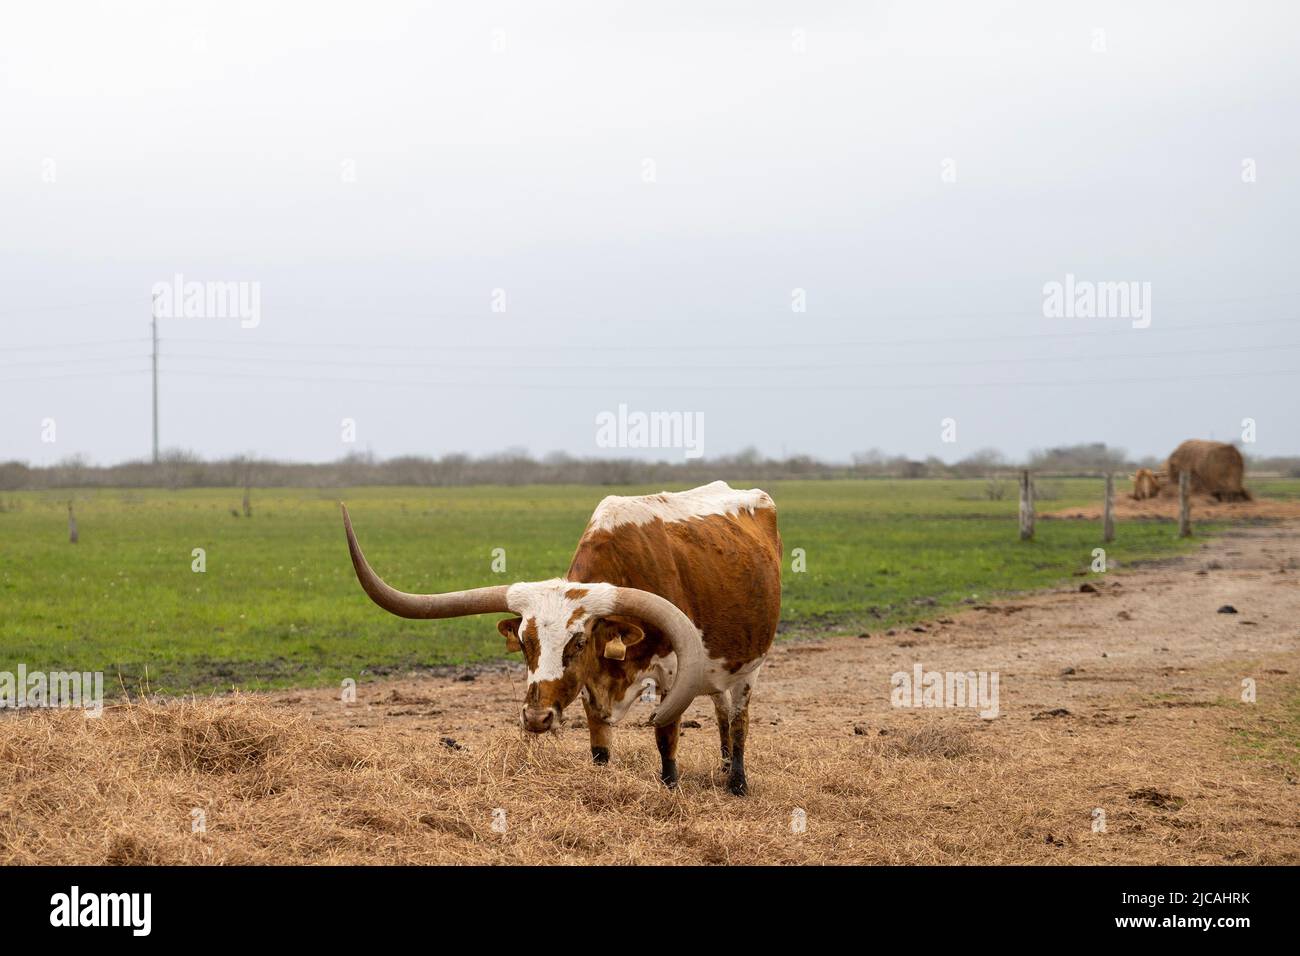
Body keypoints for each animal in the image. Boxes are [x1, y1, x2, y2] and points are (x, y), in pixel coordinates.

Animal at [340, 481, 774, 796]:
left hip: (749, 668)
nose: (536, 719)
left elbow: (665, 738)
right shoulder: (591, 689)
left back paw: (737, 782)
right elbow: (599, 747)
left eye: (578, 642)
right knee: (721, 710)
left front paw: (671, 789)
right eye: (523, 642)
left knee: (738, 720)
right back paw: (722, 767)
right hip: (717, 671)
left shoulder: (671, 676)